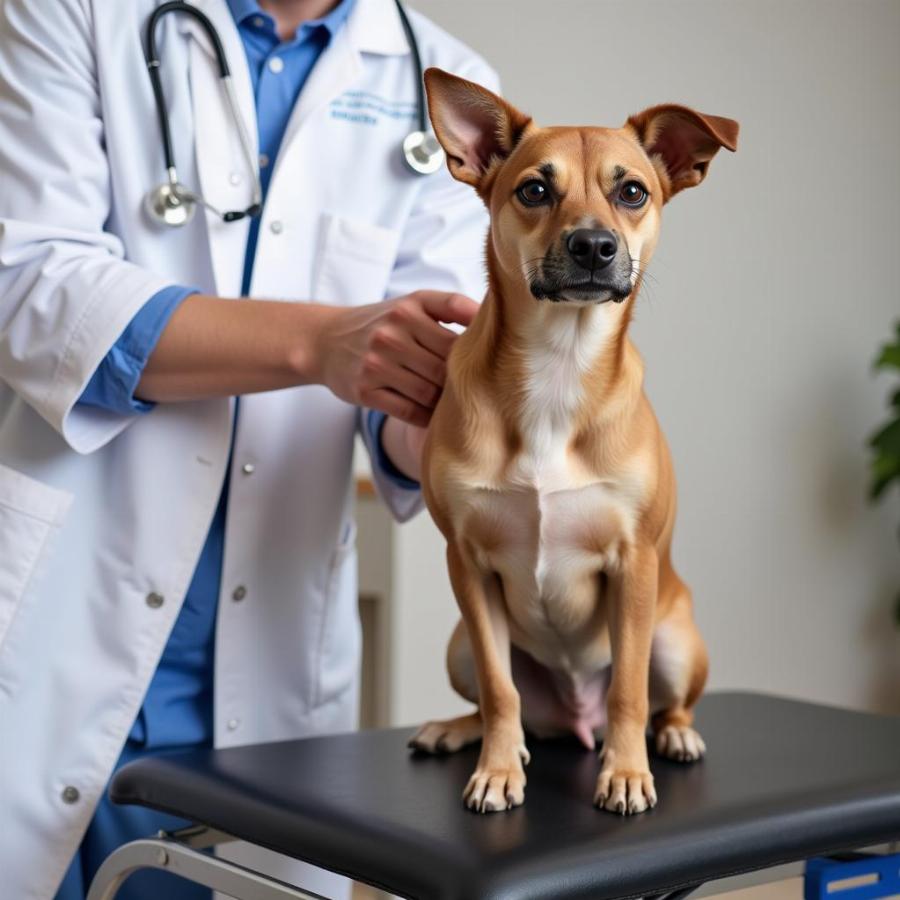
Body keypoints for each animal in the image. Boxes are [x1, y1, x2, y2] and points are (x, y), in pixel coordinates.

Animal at [414, 68, 740, 816]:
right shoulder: (467, 566)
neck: (560, 366)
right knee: (499, 701)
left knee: (659, 701)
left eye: (632, 192)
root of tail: (573, 720)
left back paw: (671, 736)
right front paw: (497, 769)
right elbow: (501, 690)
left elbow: (627, 689)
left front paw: (625, 774)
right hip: (459, 644)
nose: (594, 246)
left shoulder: (634, 564)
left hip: (676, 640)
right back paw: (459, 730)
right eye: (535, 190)